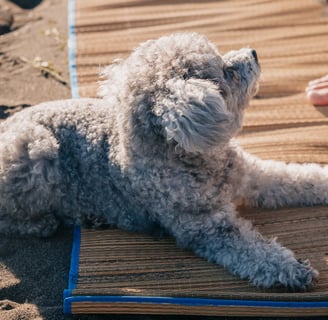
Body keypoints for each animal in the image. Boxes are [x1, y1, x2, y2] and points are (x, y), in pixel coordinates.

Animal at [1, 32, 326, 290]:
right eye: (226, 71)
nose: (254, 52)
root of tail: (7, 124)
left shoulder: (253, 176)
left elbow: (295, 178)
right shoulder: (205, 229)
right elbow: (253, 251)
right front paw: (291, 269)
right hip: (34, 149)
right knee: (9, 214)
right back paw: (43, 223)